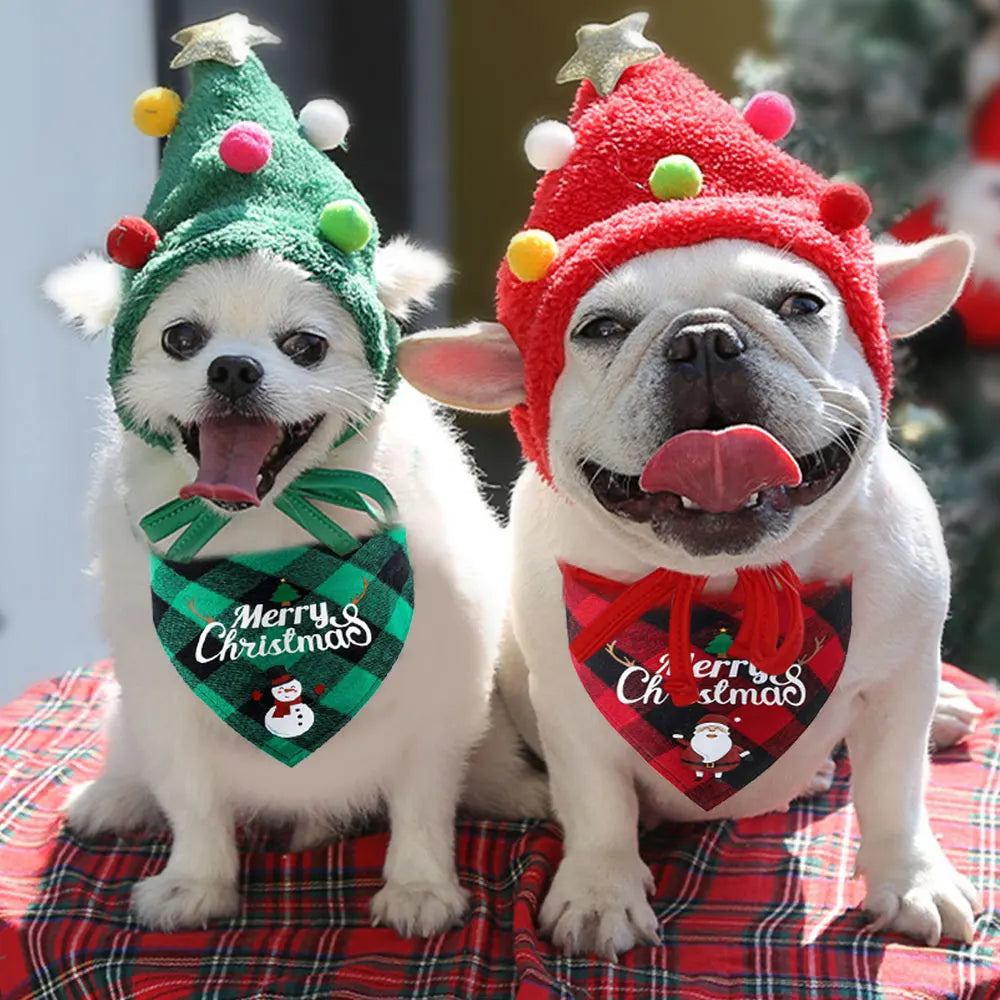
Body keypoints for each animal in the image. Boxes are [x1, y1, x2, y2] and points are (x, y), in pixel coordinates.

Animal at [45, 242, 548, 936]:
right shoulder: (162, 696)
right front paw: (196, 882)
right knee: (133, 759)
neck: (270, 550)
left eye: (305, 345)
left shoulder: (438, 697)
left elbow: (424, 800)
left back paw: (514, 791)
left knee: (487, 761)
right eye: (181, 338)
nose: (232, 368)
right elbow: (190, 798)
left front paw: (419, 886)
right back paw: (114, 795)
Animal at [398, 230, 984, 956]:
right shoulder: (573, 705)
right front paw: (601, 893)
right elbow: (599, 803)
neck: (733, 581)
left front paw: (912, 881)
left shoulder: (899, 692)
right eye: (600, 329)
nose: (704, 338)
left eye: (803, 304)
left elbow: (894, 791)